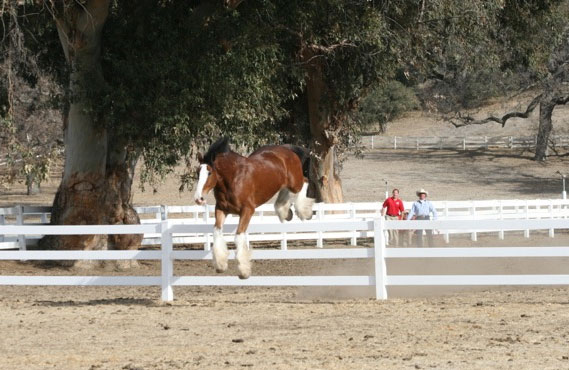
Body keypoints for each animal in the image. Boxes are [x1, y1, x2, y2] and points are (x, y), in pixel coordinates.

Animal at [193, 137, 312, 278]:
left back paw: (304, 212)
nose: (198, 198)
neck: (233, 178)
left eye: (209, 172)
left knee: (305, 181)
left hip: (295, 182)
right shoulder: (221, 209)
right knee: (284, 192)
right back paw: (285, 212)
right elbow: (216, 232)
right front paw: (220, 265)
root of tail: (287, 149)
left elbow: (239, 236)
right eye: (197, 173)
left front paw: (243, 271)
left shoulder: (247, 210)